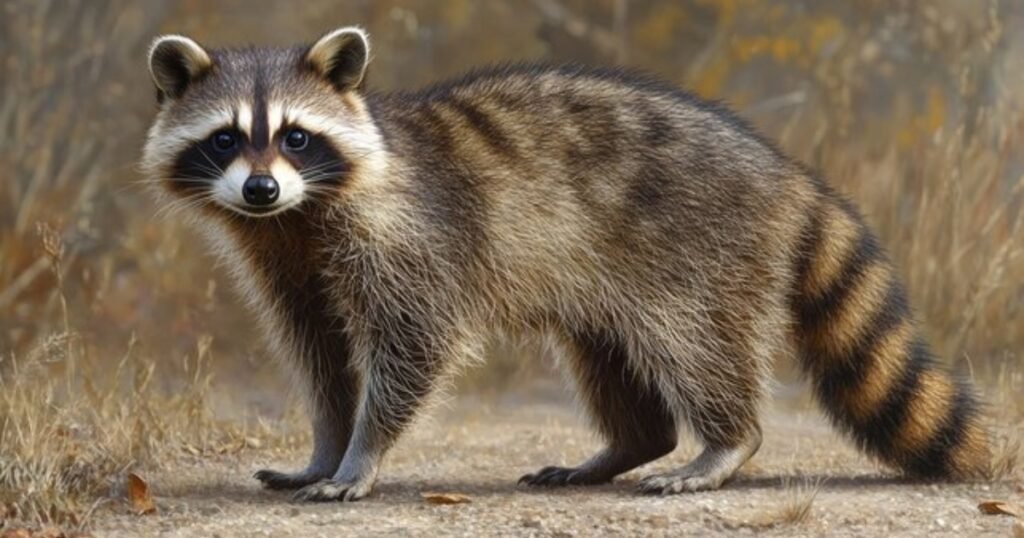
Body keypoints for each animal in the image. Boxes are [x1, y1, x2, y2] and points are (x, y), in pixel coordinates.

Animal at [141, 27, 990, 502]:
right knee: (609, 359)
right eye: (226, 138)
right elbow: (319, 357)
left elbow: (412, 346)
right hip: (608, 282)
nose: (259, 188)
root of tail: (788, 173)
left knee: (697, 345)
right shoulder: (285, 261)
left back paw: (727, 440)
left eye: (295, 136)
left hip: (700, 249)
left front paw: (362, 455)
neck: (301, 212)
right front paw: (325, 445)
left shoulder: (413, 239)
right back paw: (628, 445)